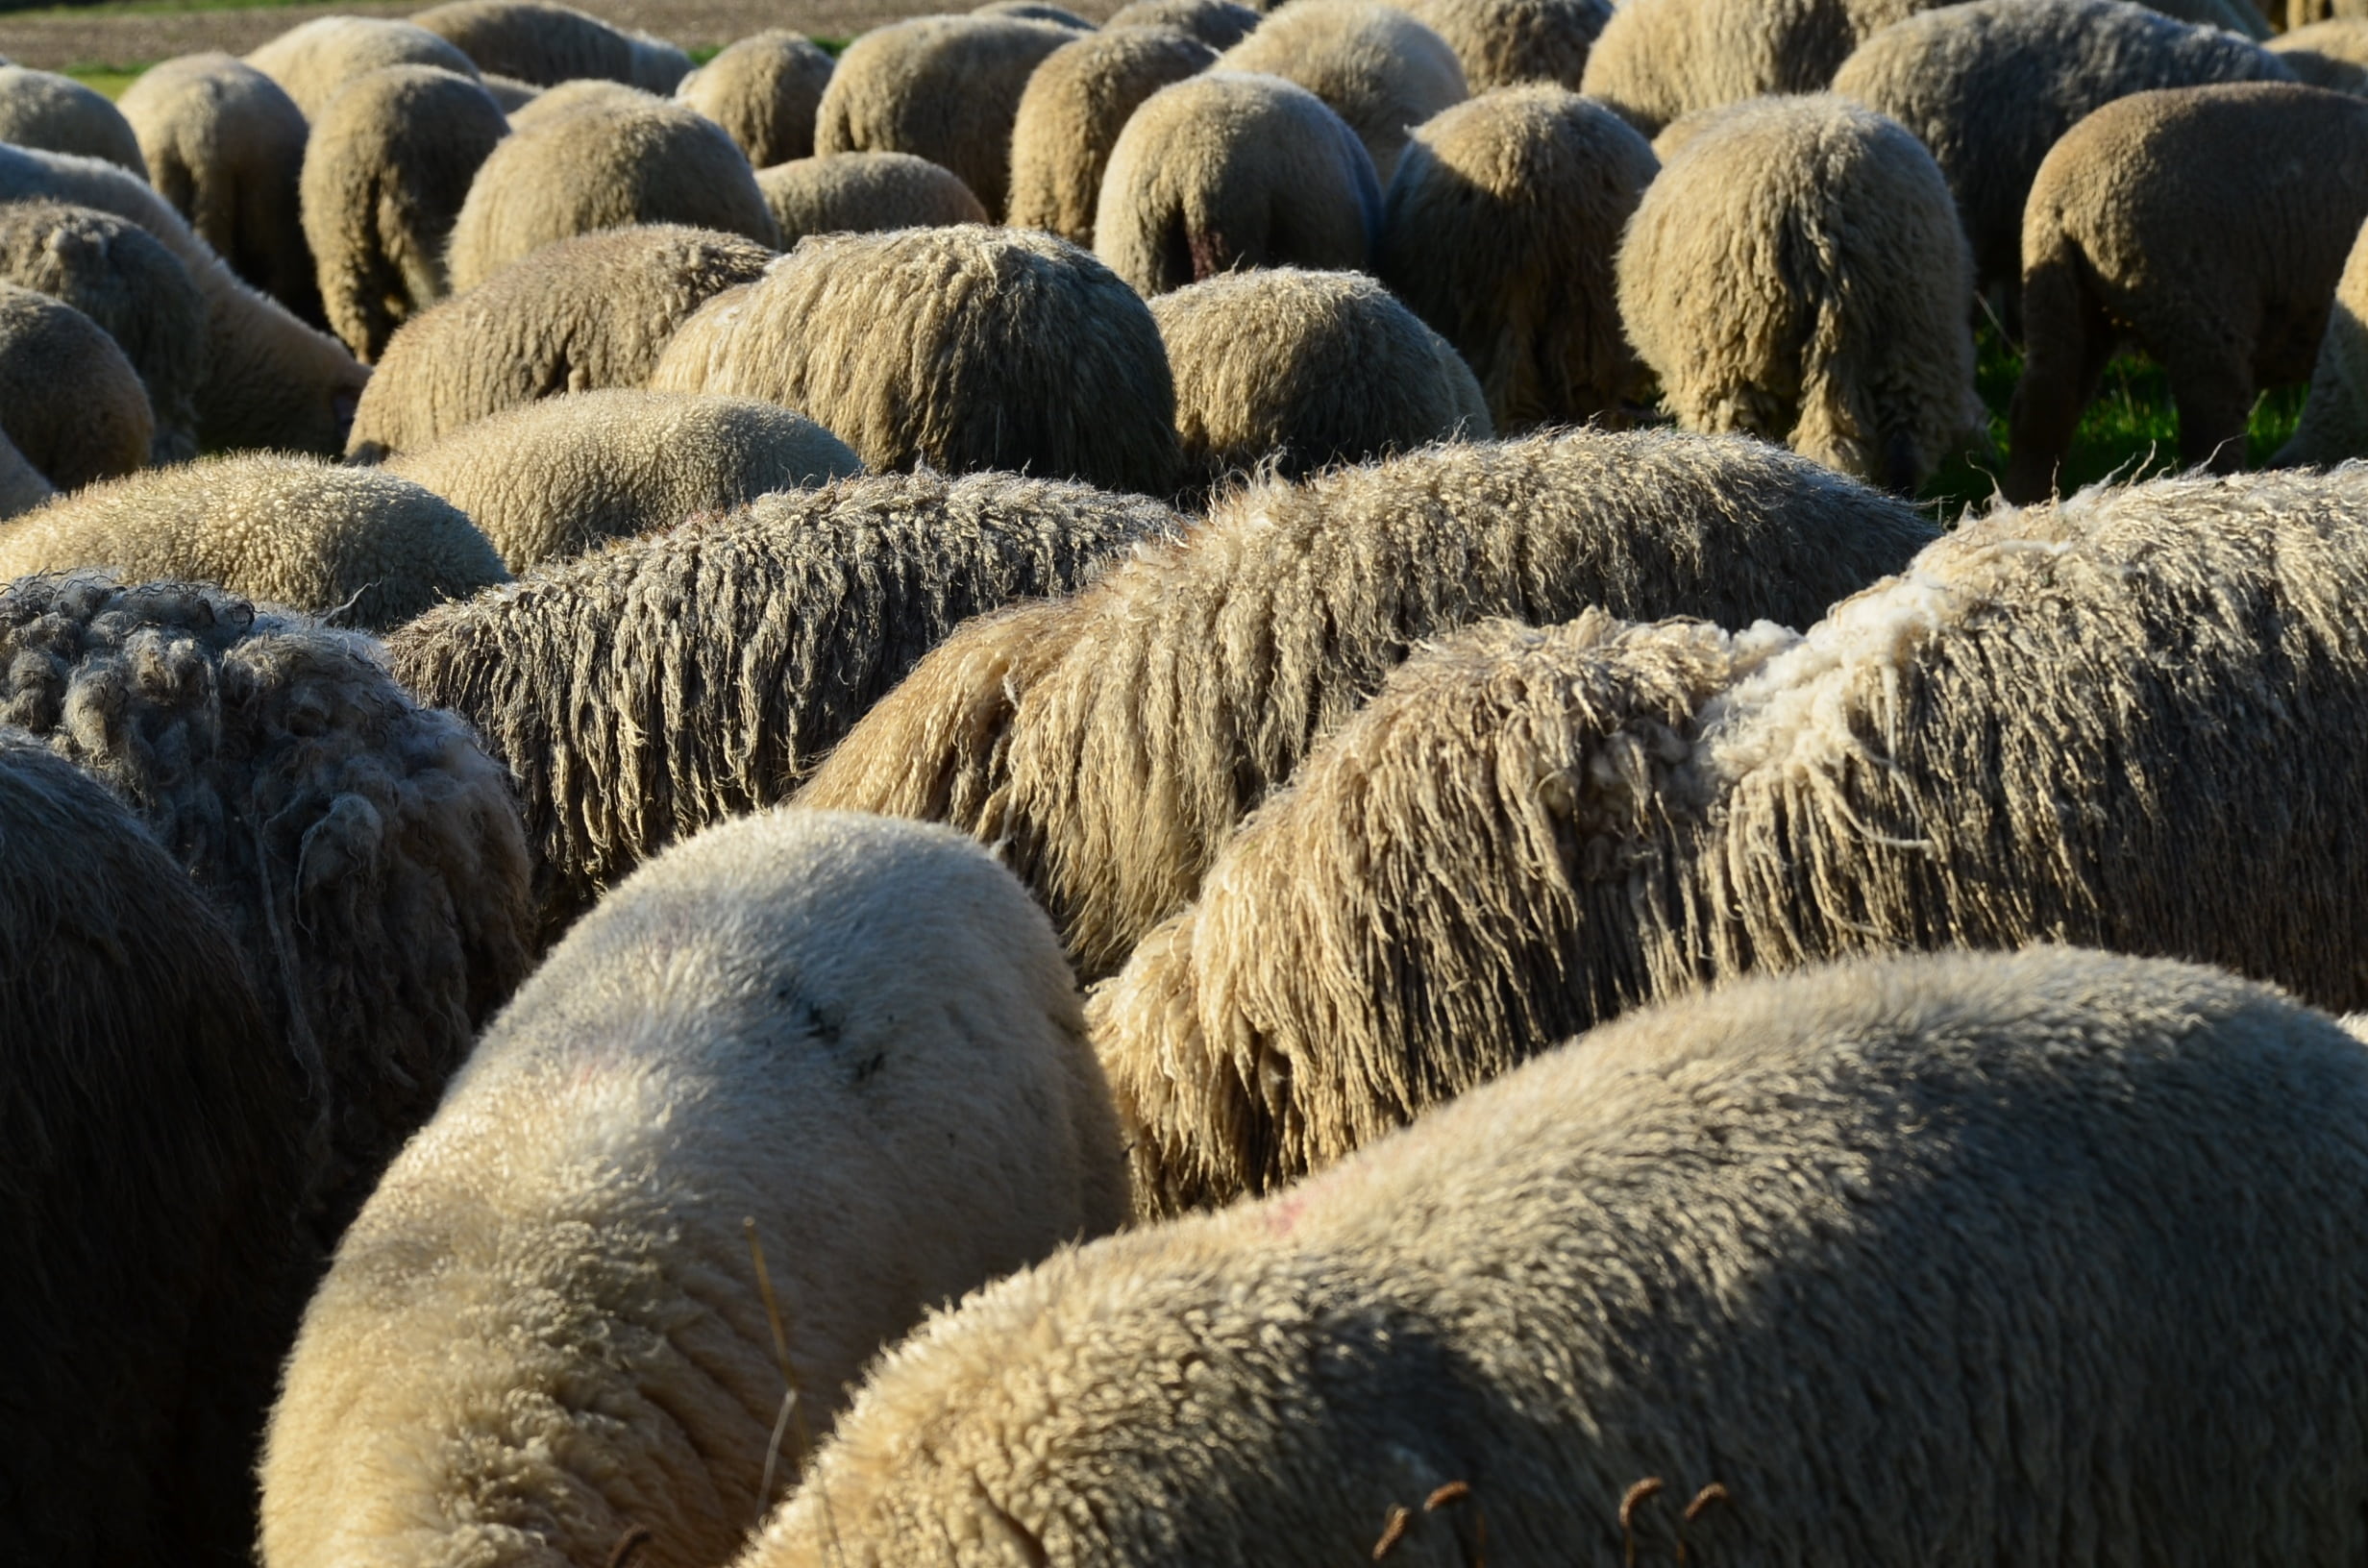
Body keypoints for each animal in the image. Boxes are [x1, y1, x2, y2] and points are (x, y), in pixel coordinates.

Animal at [2007, 83, 2368, 500]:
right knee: (2211, 428)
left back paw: (2023, 502)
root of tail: (2065, 198)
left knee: (2043, 408)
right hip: (2199, 307)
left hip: (2060, 298)